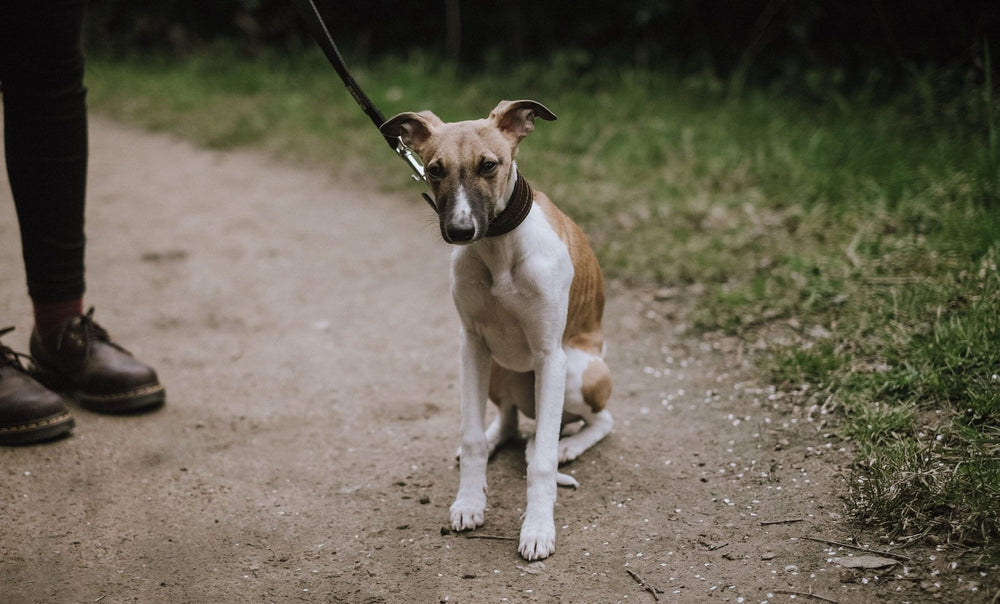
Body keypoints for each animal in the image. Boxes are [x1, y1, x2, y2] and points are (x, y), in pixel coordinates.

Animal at [380, 101, 612, 560]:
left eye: (489, 165)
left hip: (579, 371)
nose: (459, 232)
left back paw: (568, 444)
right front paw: (469, 502)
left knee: (598, 420)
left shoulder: (550, 356)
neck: (498, 248)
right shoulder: (471, 344)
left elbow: (540, 463)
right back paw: (499, 440)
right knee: (507, 421)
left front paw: (538, 528)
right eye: (434, 170)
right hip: (498, 370)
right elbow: (470, 436)